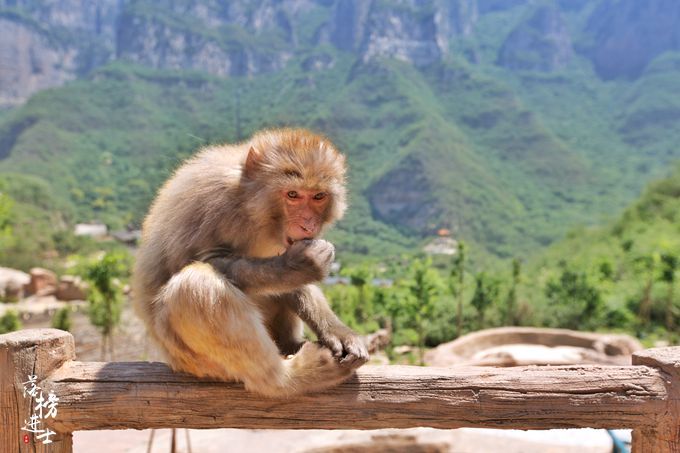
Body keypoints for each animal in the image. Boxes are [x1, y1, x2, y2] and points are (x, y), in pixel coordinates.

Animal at [130, 127, 370, 396]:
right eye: (293, 194)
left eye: (318, 196)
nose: (308, 224)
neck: (250, 205)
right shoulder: (213, 202)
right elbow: (201, 260)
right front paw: (297, 265)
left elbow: (290, 285)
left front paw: (336, 331)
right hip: (193, 359)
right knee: (197, 285)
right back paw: (290, 377)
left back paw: (290, 345)